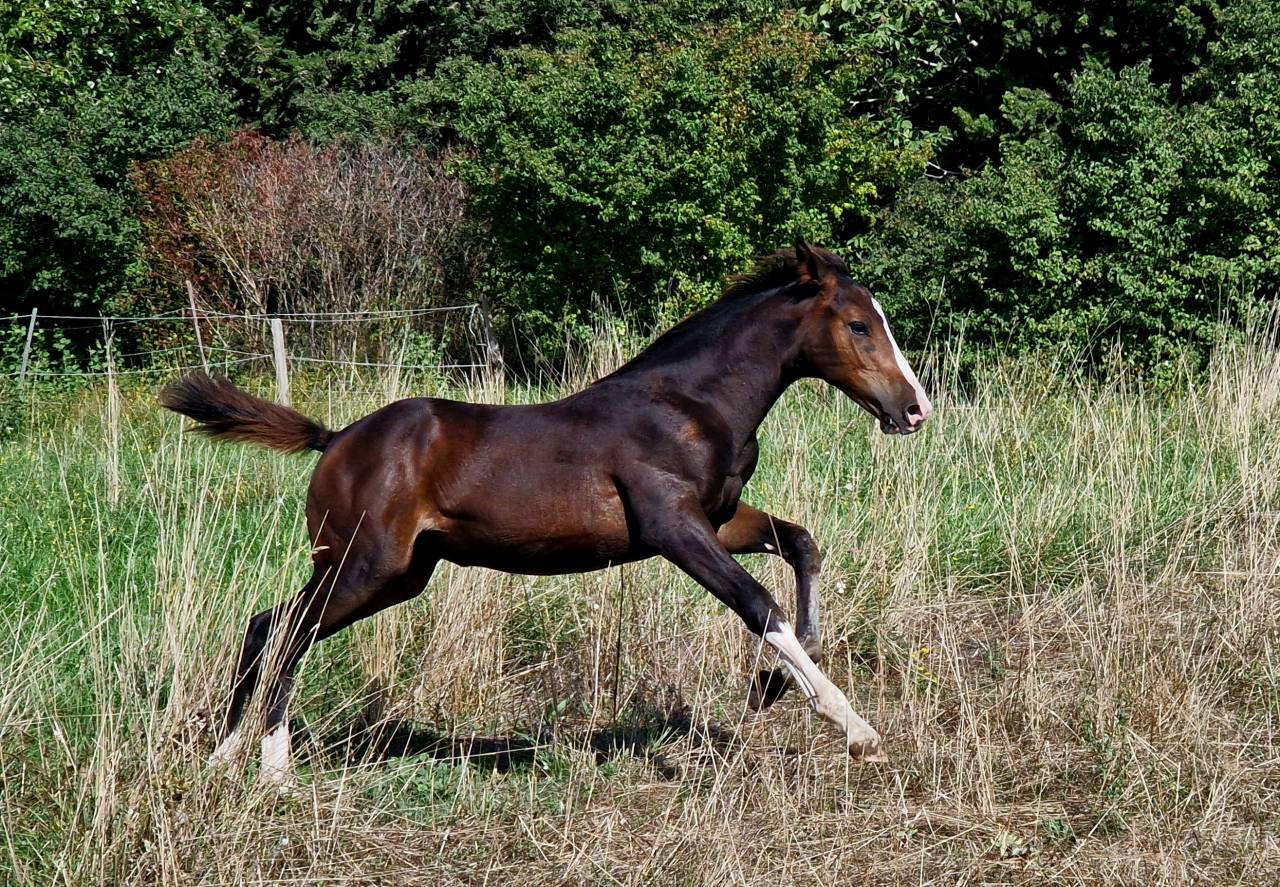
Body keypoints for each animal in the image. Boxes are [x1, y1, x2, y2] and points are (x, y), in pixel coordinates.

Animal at [161, 239, 932, 782]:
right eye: (859, 326)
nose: (915, 408)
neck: (690, 404)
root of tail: (337, 438)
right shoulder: (672, 527)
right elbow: (759, 603)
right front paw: (854, 729)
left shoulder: (719, 519)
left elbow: (801, 545)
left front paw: (771, 684)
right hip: (364, 565)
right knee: (283, 628)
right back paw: (271, 764)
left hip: (396, 573)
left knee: (269, 623)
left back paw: (227, 752)